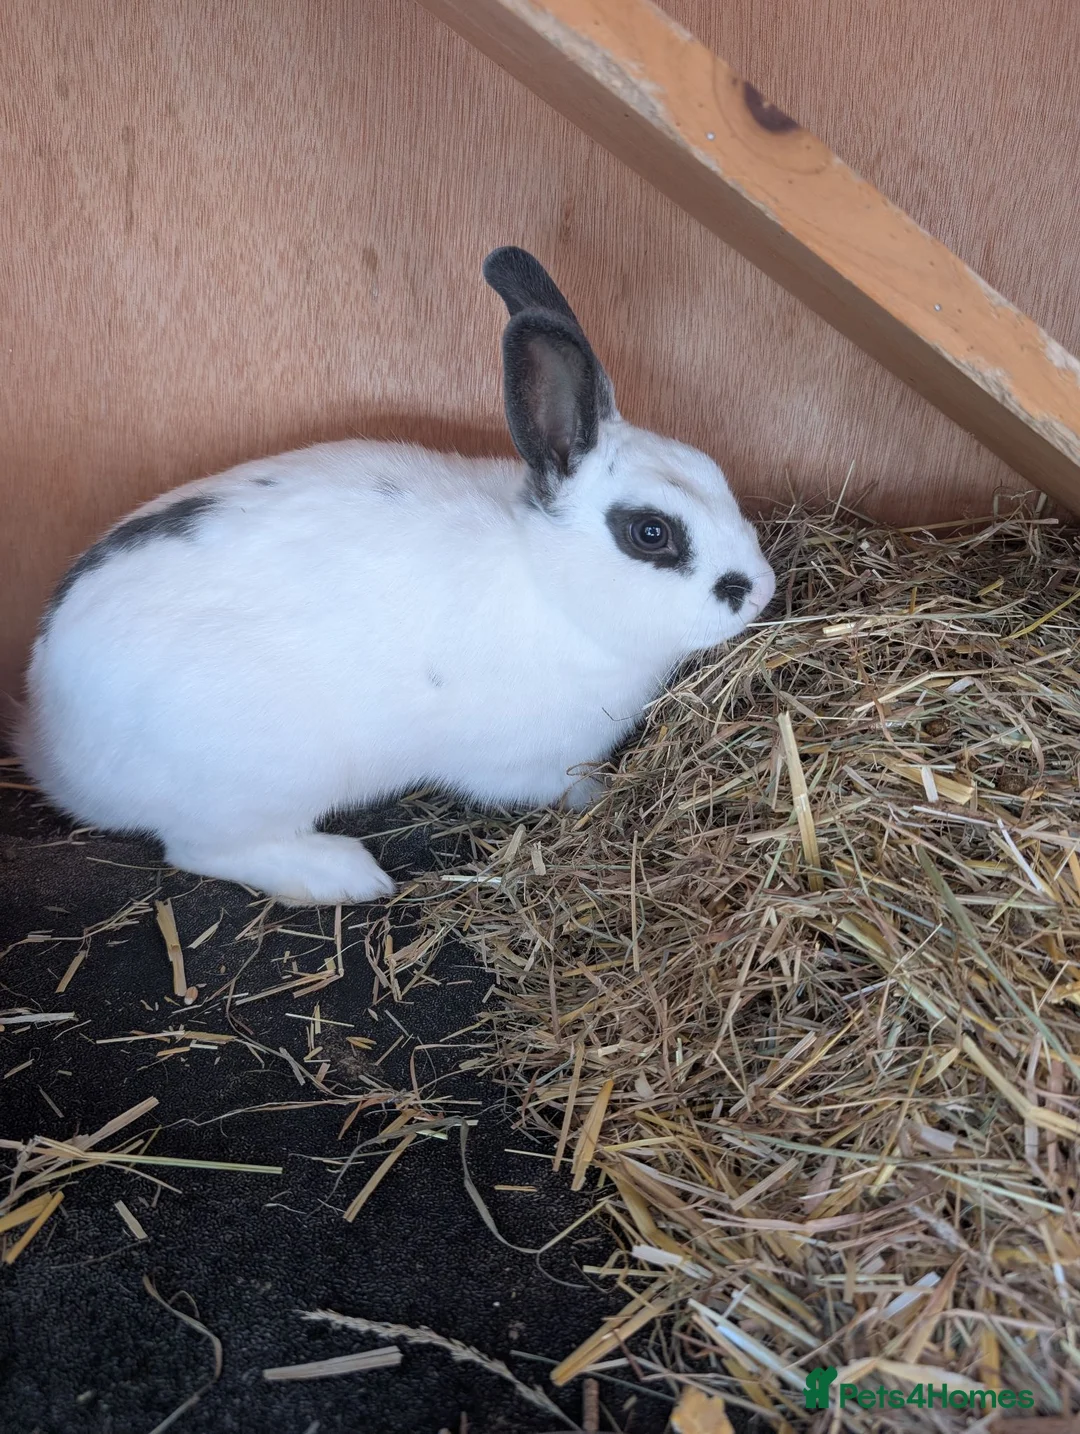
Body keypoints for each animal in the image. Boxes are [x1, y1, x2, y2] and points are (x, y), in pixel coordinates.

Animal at [16, 246, 776, 906]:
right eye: (650, 533)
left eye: (714, 474)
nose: (760, 589)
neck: (551, 585)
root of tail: (51, 744)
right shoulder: (525, 761)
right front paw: (596, 798)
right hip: (266, 774)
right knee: (203, 847)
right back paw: (344, 874)